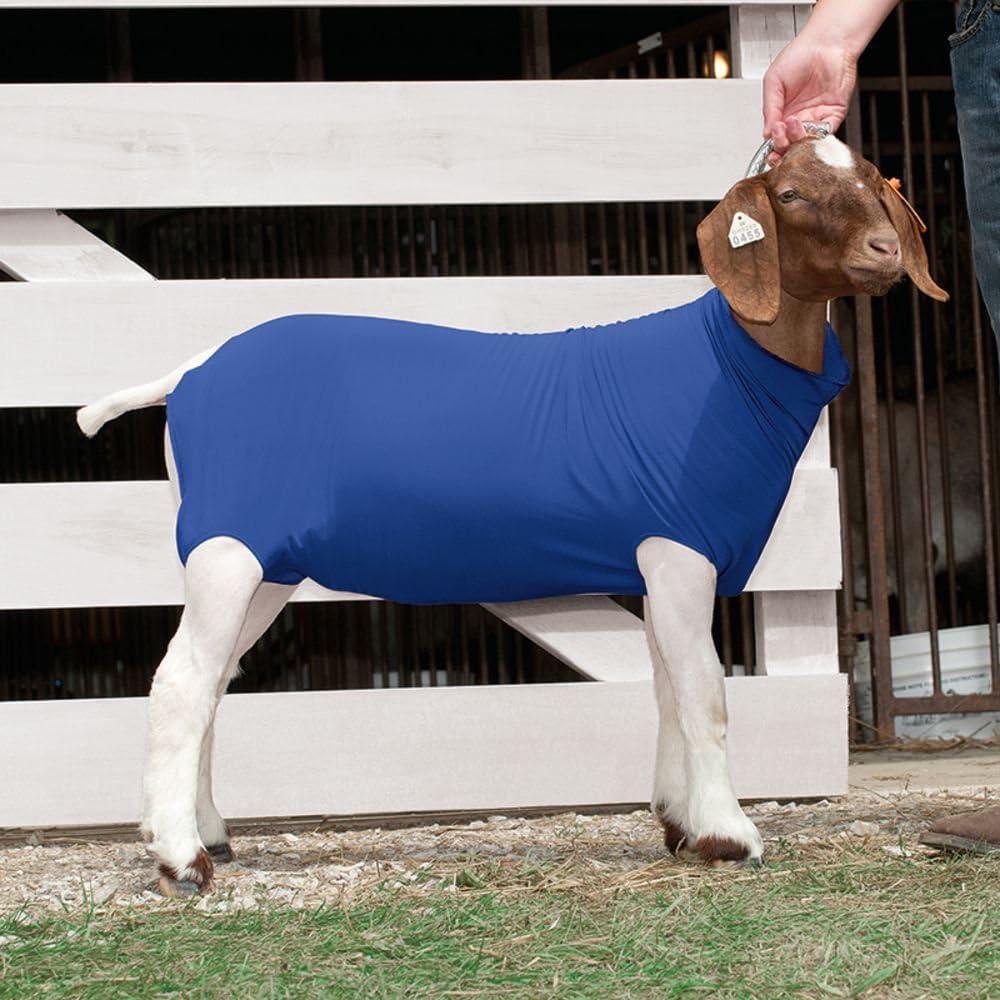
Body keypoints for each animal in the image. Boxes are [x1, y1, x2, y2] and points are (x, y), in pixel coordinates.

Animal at [77, 135, 946, 896]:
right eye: (791, 194)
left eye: (871, 179)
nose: (884, 252)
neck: (725, 366)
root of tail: (188, 374)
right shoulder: (680, 548)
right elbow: (706, 693)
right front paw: (730, 834)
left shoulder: (655, 559)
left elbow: (669, 688)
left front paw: (679, 820)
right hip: (228, 546)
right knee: (181, 681)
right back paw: (181, 858)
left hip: (265, 561)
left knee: (215, 679)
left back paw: (208, 829)